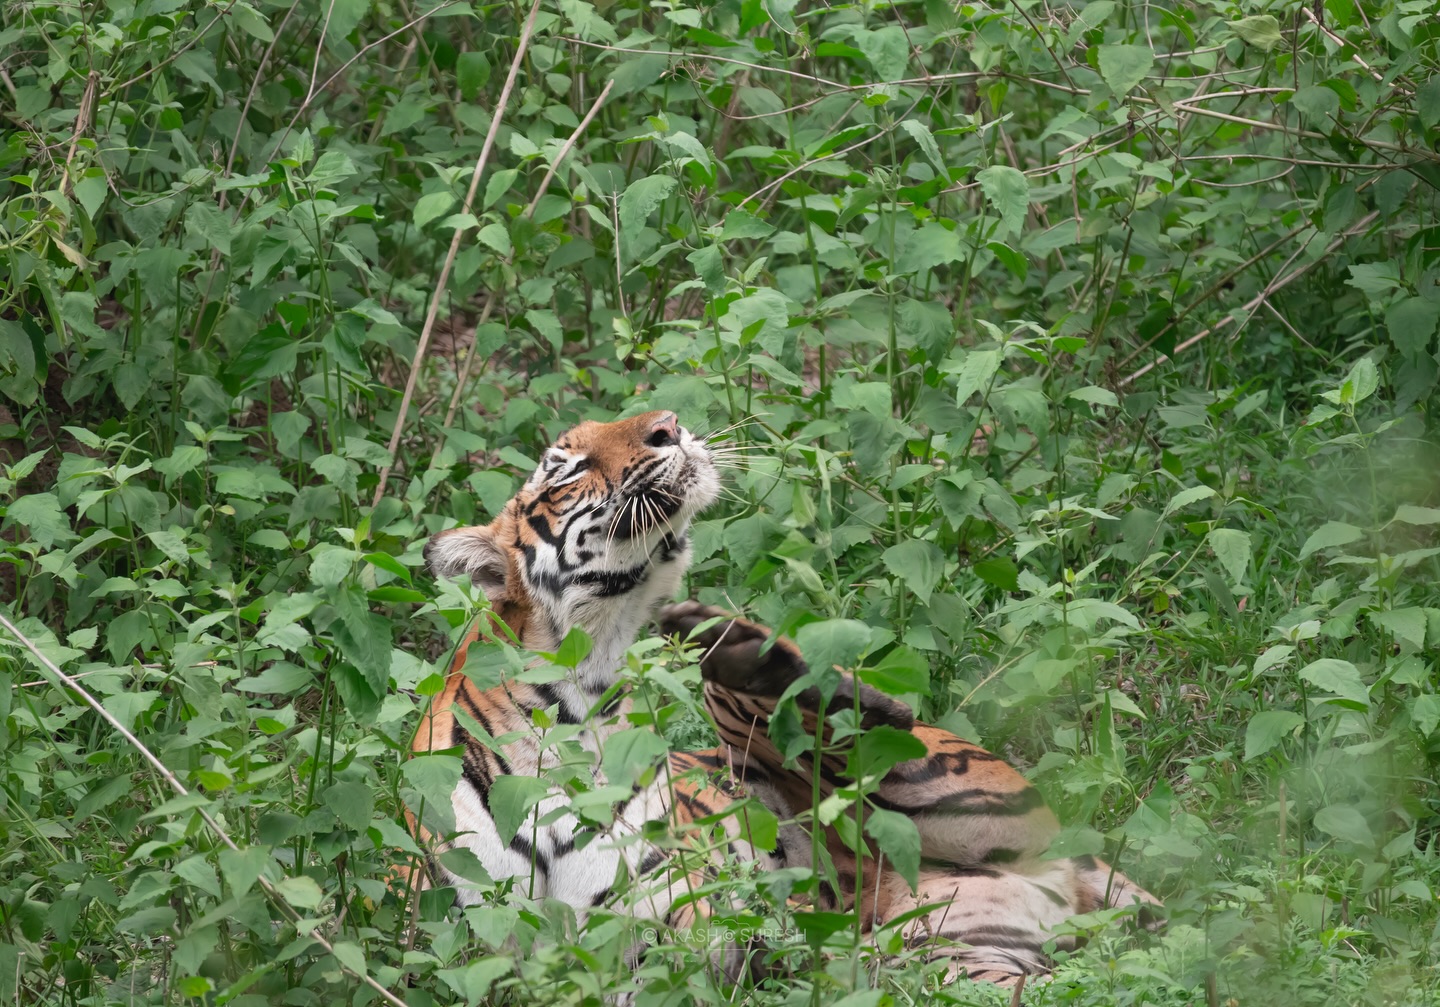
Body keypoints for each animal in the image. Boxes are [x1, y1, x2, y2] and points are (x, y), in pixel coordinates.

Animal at [414, 408, 1159, 987]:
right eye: (563, 468)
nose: (669, 425)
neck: (581, 706)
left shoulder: (684, 927)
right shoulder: (471, 946)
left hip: (958, 799)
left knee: (853, 729)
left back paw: (741, 648)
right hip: (952, 959)